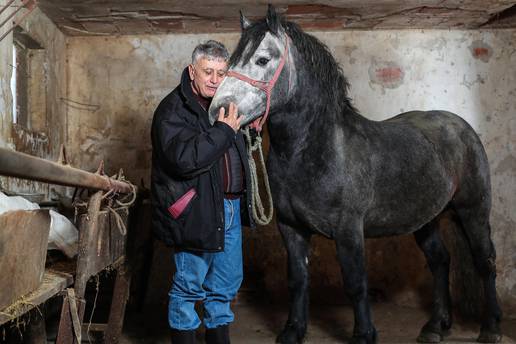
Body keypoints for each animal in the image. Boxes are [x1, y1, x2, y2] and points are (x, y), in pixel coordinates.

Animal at [208, 5, 502, 344]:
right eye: (231, 61)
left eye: (262, 60)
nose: (217, 111)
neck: (315, 150)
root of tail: (461, 127)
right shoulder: (291, 228)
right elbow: (298, 280)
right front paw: (293, 331)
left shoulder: (348, 230)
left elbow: (355, 282)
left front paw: (364, 334)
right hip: (425, 219)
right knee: (440, 262)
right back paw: (435, 326)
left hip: (473, 211)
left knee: (484, 261)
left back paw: (490, 327)